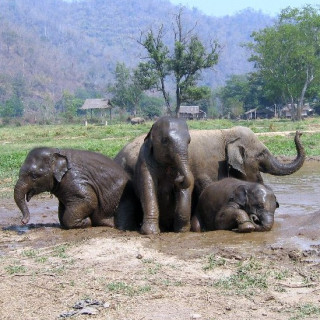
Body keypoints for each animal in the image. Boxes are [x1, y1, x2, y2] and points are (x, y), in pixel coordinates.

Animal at [13, 148, 141, 230]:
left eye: (34, 176)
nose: (23, 221)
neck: (57, 151)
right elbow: (62, 210)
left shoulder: (74, 178)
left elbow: (89, 200)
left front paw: (87, 222)